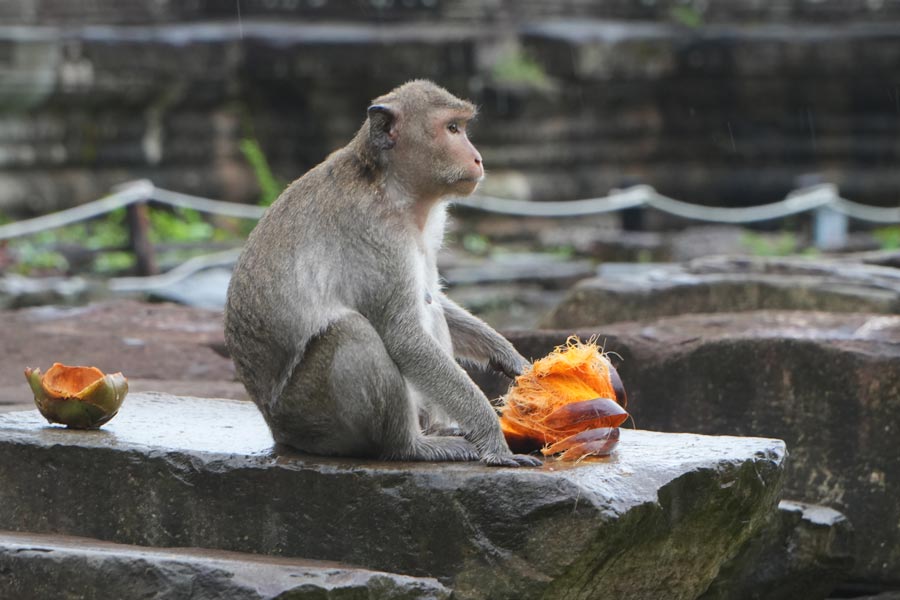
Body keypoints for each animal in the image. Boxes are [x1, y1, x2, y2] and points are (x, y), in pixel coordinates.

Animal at [225, 80, 541, 467]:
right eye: (452, 128)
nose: (478, 157)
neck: (393, 189)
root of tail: (276, 428)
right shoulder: (373, 232)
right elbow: (403, 337)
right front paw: (494, 440)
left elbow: (432, 296)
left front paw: (510, 357)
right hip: (307, 416)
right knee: (353, 331)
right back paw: (409, 446)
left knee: (427, 309)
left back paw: (438, 427)